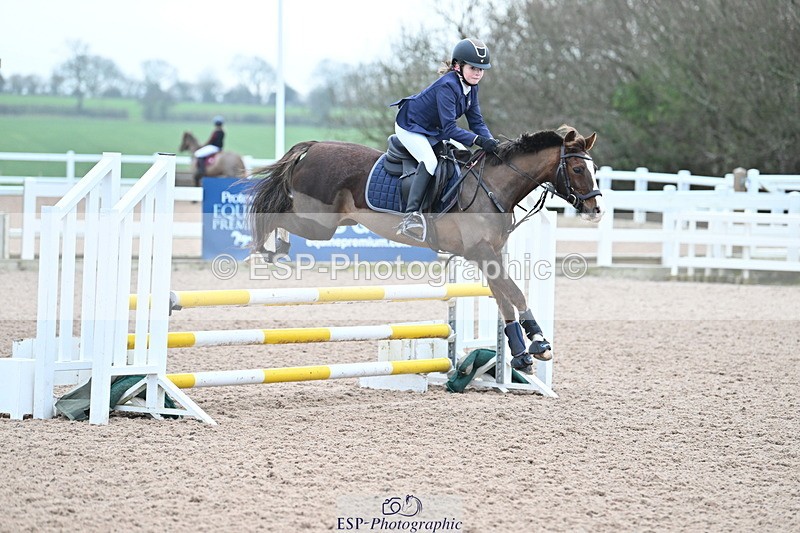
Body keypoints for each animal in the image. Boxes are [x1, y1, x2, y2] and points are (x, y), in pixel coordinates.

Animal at [247, 126, 604, 373]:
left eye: (594, 169)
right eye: (577, 169)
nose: (596, 209)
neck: (494, 186)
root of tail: (315, 146)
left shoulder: (489, 255)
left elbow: (505, 299)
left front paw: (521, 354)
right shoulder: (482, 252)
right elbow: (515, 294)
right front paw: (538, 344)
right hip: (318, 224)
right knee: (275, 211)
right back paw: (268, 248)